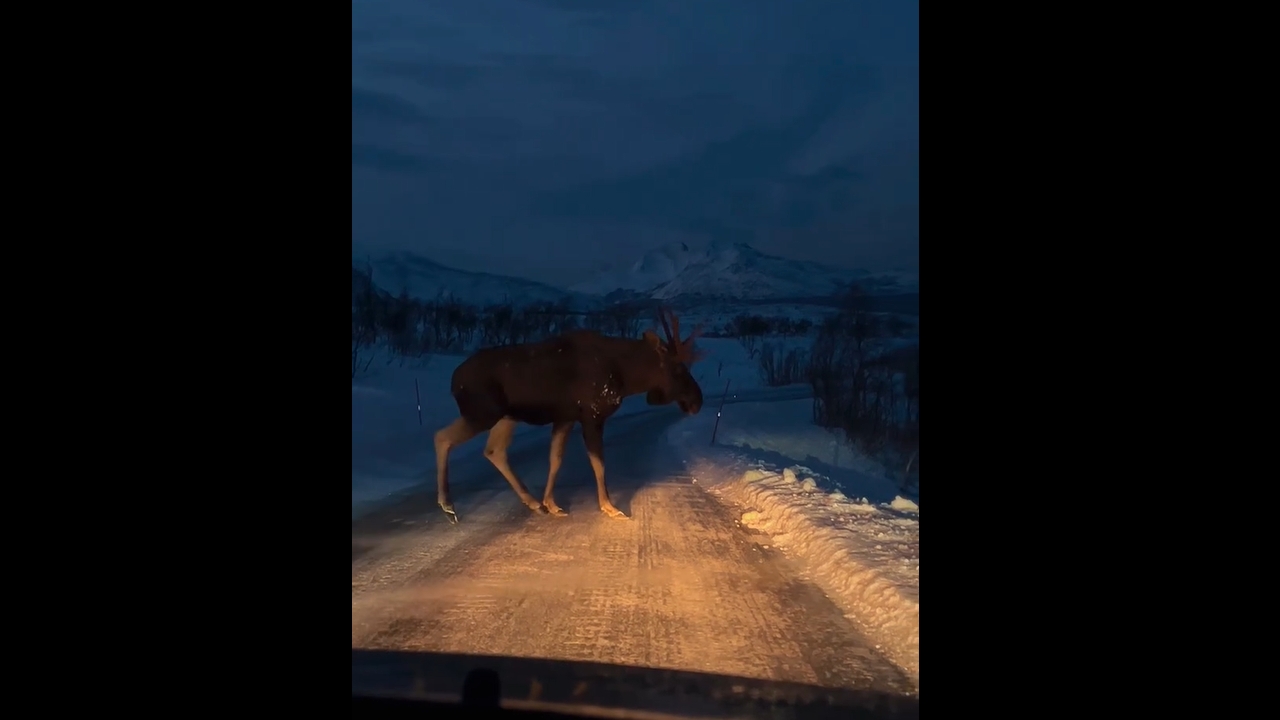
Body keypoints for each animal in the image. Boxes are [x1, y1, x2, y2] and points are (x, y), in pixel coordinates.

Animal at [432, 307, 705, 524]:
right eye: (678, 368)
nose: (697, 401)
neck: (628, 377)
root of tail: (453, 381)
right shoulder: (592, 415)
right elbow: (598, 462)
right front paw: (609, 506)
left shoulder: (565, 417)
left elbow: (556, 458)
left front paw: (551, 504)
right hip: (483, 413)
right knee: (442, 437)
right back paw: (448, 506)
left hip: (506, 417)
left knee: (493, 451)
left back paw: (533, 503)